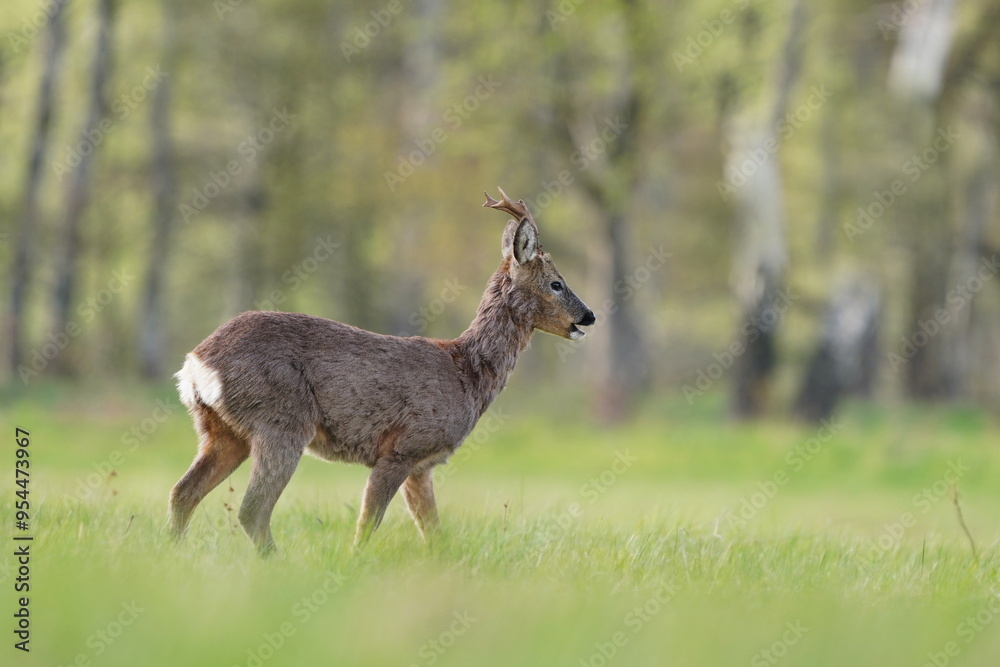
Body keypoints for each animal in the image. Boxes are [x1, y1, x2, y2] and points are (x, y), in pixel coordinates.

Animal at [169, 187, 592, 552]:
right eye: (556, 283)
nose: (588, 316)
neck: (467, 373)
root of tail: (195, 364)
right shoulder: (402, 447)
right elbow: (367, 524)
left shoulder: (423, 465)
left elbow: (433, 533)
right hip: (282, 421)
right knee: (252, 509)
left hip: (222, 431)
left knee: (182, 493)